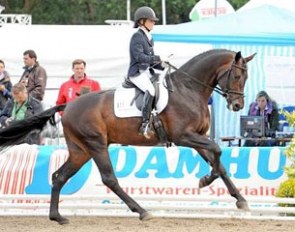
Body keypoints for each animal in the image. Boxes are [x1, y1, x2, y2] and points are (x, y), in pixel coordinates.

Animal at [0, 48, 256, 223]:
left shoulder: (198, 137)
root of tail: (68, 105)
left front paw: (239, 199)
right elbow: (218, 151)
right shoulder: (184, 136)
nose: (237, 105)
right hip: (96, 145)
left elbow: (219, 162)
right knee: (109, 179)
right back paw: (142, 212)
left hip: (81, 150)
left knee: (59, 176)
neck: (188, 89)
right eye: (236, 77)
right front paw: (205, 180)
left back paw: (57, 216)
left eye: (246, 78)